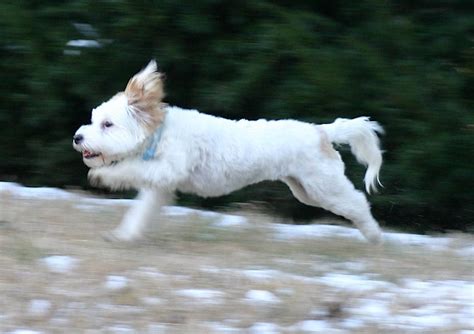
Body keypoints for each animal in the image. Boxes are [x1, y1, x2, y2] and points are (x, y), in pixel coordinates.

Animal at [73, 60, 386, 243]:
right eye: (93, 118)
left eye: (107, 124)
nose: (77, 137)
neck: (160, 133)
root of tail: (320, 131)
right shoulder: (160, 185)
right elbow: (140, 212)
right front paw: (125, 235)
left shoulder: (167, 169)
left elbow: (130, 169)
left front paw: (103, 177)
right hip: (305, 189)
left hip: (323, 186)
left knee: (358, 202)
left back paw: (374, 235)